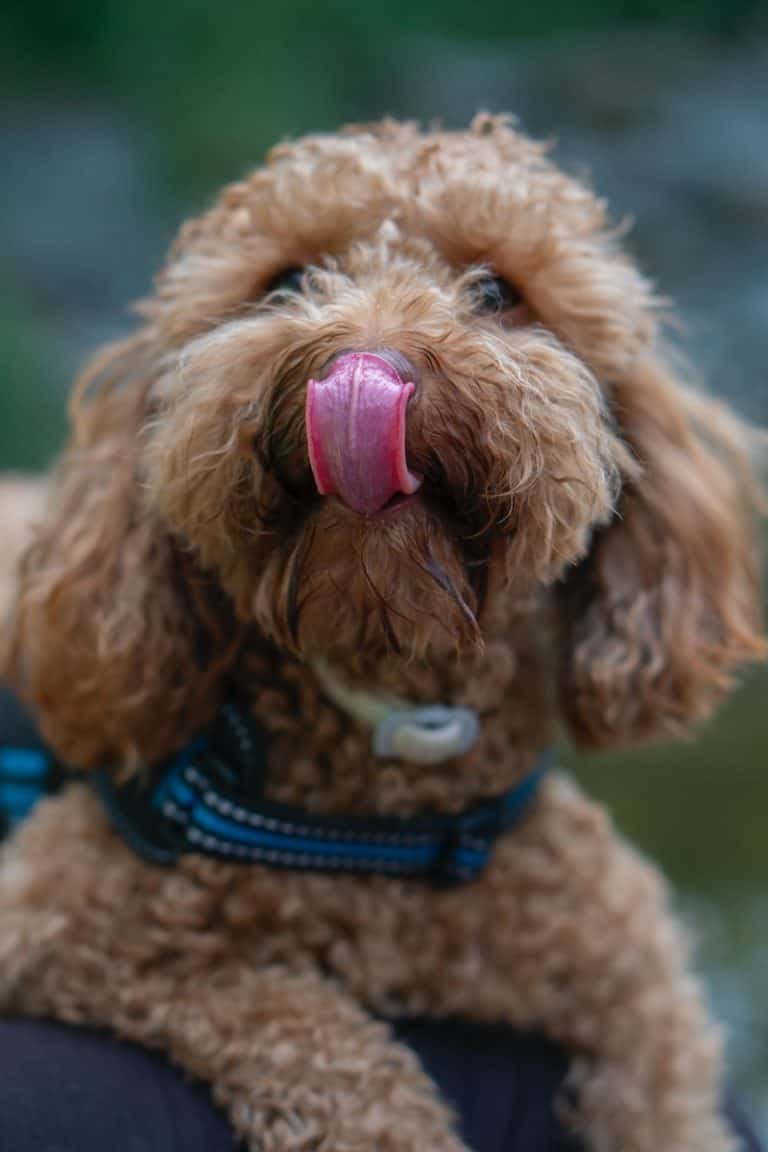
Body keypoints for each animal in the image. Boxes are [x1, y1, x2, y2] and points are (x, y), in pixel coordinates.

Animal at [0, 119, 764, 1152]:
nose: (363, 368)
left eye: (496, 292)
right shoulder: (55, 917)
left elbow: (668, 1098)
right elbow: (307, 1029)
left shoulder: (629, 974)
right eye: (287, 280)